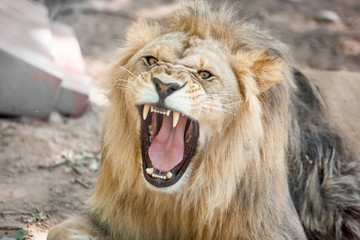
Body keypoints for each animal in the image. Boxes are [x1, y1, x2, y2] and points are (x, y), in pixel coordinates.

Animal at [47, 1, 360, 240]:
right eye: (150, 61)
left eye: (205, 74)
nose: (165, 85)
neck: (178, 199)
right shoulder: (110, 216)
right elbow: (56, 231)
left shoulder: (277, 229)